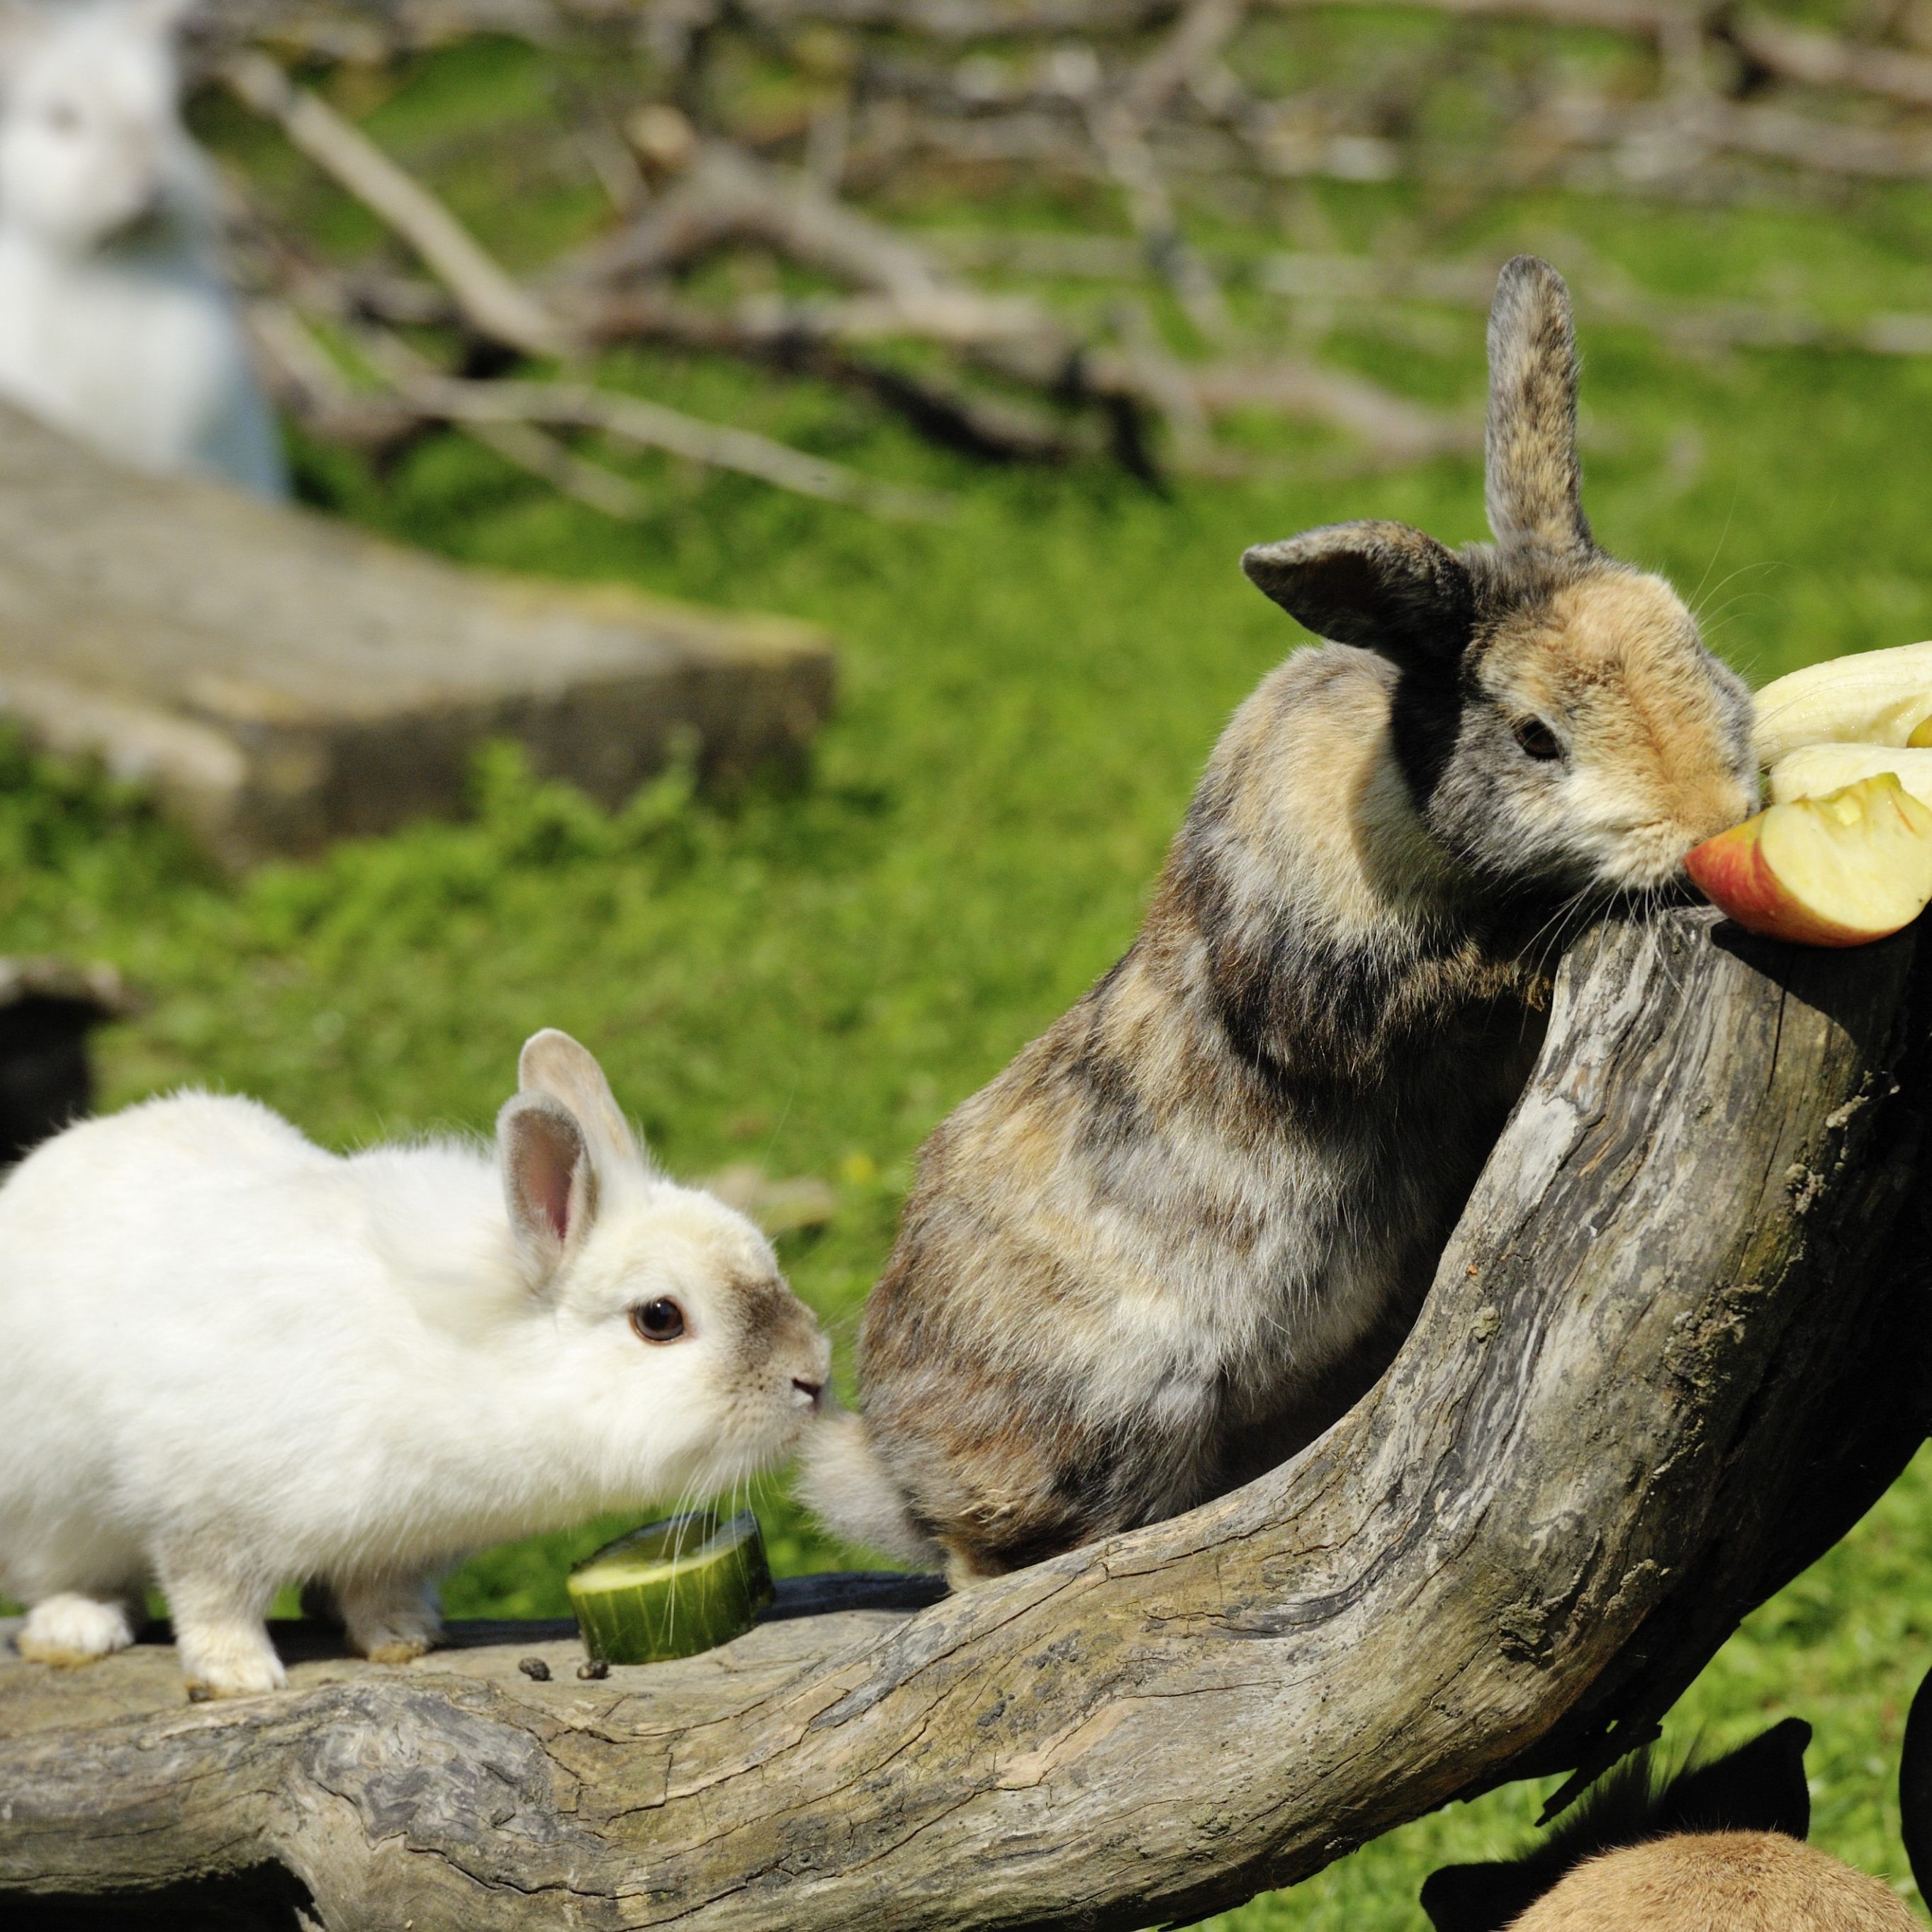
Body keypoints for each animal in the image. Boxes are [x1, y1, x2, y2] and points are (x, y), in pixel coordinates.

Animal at [0, 1029, 830, 1698]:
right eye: (659, 1318)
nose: (814, 1376)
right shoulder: (203, 1513)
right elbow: (212, 1599)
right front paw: (239, 1677)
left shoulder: (396, 1541)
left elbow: (378, 1588)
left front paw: (403, 1639)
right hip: (47, 1507)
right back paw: (80, 1629)